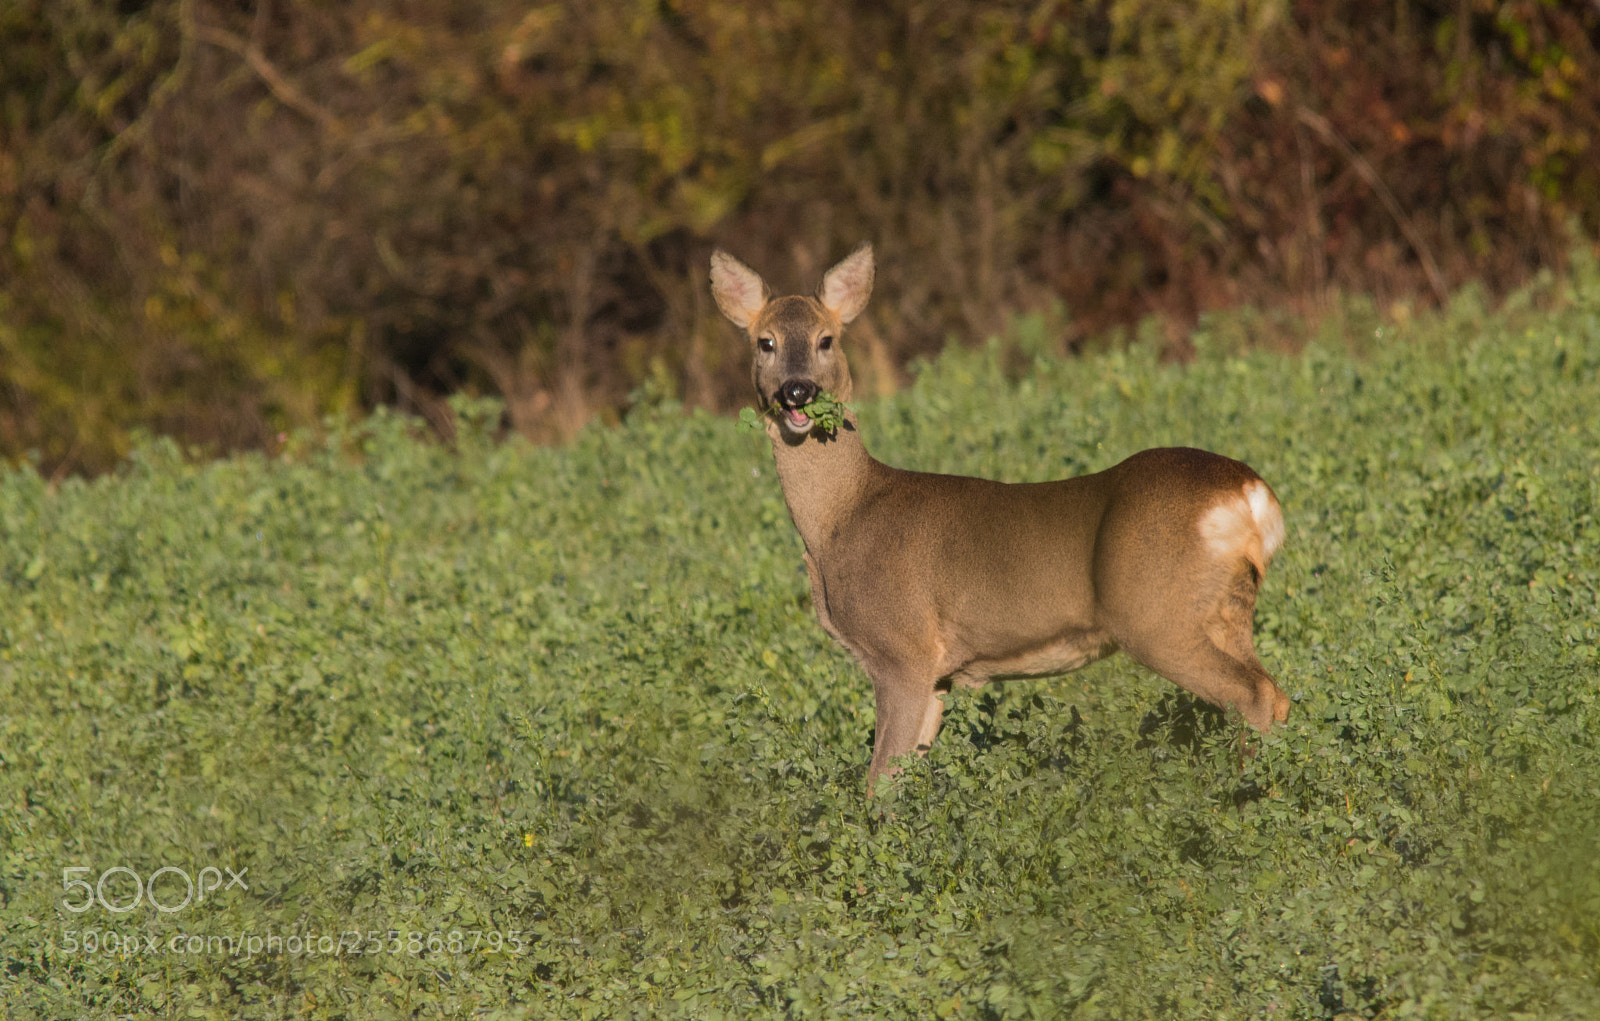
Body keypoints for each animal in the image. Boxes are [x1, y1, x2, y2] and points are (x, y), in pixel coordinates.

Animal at [710, 242, 1291, 788]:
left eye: (826, 339)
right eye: (765, 342)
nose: (797, 391)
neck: (840, 521)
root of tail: (1247, 491)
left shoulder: (902, 649)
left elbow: (880, 782)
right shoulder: (939, 674)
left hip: (1156, 615)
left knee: (1255, 695)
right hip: (1228, 608)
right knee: (1275, 693)